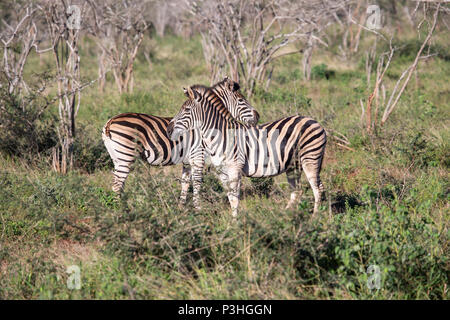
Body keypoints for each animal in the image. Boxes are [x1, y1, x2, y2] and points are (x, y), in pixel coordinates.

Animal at [100, 77, 258, 208]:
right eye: (242, 101)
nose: (258, 116)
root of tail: (110, 122)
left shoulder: (187, 161)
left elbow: (185, 183)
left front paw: (181, 208)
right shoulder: (198, 157)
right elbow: (197, 183)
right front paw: (197, 208)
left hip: (117, 157)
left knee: (118, 184)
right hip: (125, 156)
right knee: (117, 185)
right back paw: (120, 211)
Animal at [167, 85, 326, 216]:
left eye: (186, 110)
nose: (168, 129)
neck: (220, 137)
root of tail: (314, 121)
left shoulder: (235, 169)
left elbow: (235, 199)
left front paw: (235, 224)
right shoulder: (222, 172)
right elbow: (230, 197)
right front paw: (232, 224)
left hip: (310, 159)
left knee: (317, 189)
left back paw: (315, 218)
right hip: (293, 165)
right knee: (298, 190)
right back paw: (286, 216)